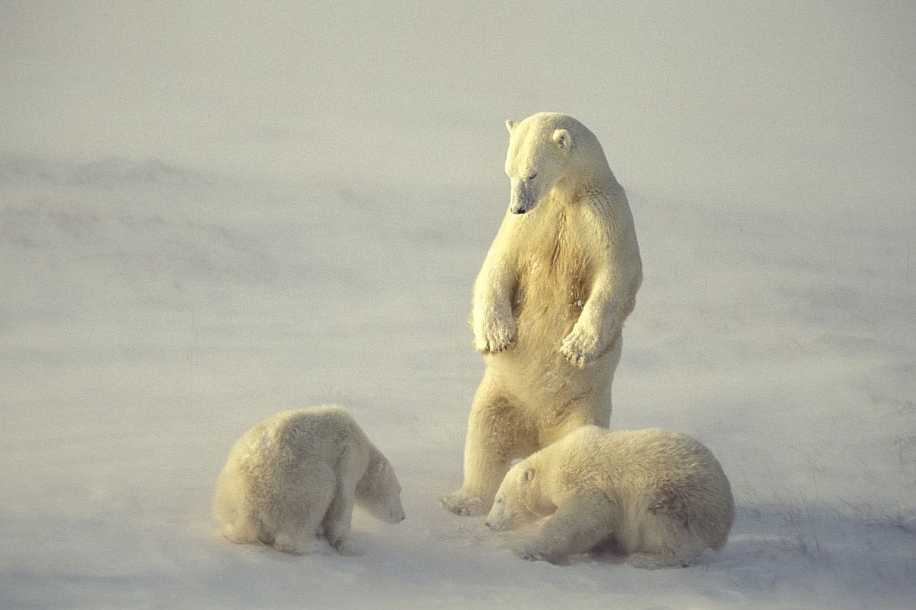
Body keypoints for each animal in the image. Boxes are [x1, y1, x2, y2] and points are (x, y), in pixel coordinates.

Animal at [215, 406, 404, 552]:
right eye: (399, 491)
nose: (403, 517)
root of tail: (250, 509)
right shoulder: (349, 456)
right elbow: (343, 502)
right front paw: (346, 544)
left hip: (227, 494)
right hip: (298, 487)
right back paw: (312, 545)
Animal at [440, 113, 640, 512]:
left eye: (532, 173)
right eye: (509, 171)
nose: (517, 206)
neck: (566, 196)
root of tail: (536, 437)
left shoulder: (604, 217)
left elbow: (616, 276)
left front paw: (576, 346)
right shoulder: (529, 226)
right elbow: (496, 267)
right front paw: (495, 336)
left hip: (584, 407)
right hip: (499, 396)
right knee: (484, 439)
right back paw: (463, 500)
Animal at [484, 422, 732, 564]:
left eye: (499, 500)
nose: (488, 523)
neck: (555, 463)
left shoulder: (587, 482)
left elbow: (580, 519)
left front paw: (527, 550)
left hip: (674, 498)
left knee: (668, 530)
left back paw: (646, 558)